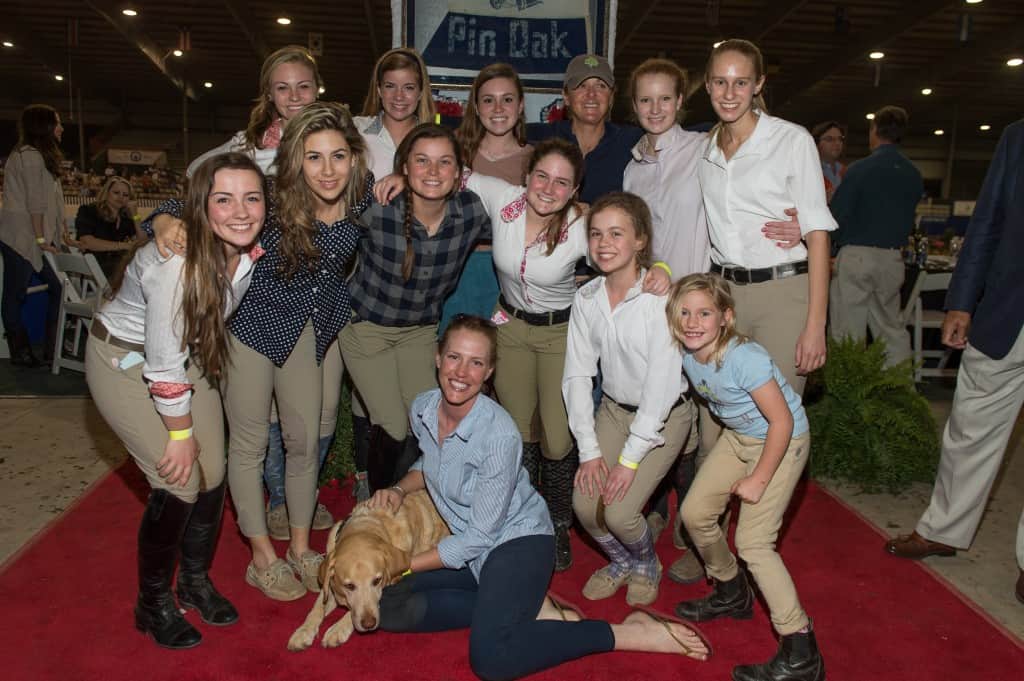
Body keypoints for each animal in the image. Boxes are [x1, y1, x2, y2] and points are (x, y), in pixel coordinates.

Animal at [288, 491, 448, 647]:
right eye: (349, 586)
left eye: (377, 581)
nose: (369, 624)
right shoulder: (329, 585)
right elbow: (316, 609)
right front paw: (303, 631)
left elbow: (354, 612)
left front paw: (338, 629)